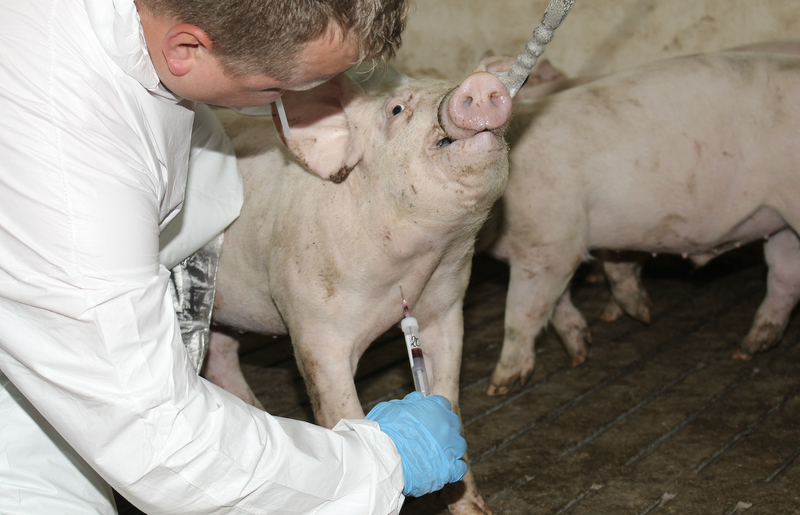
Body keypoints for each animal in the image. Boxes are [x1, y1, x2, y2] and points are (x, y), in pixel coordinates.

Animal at [203, 69, 510, 515]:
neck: (410, 272)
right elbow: (341, 409)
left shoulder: (447, 304)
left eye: (447, 79)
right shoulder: (314, 324)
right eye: (396, 109)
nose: (481, 82)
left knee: (222, 353)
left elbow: (449, 393)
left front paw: (471, 505)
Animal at [484, 49, 800, 396]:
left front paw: (497, 386)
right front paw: (581, 352)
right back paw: (746, 350)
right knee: (785, 279)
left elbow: (521, 314)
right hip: (780, 221)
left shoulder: (549, 244)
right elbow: (559, 303)